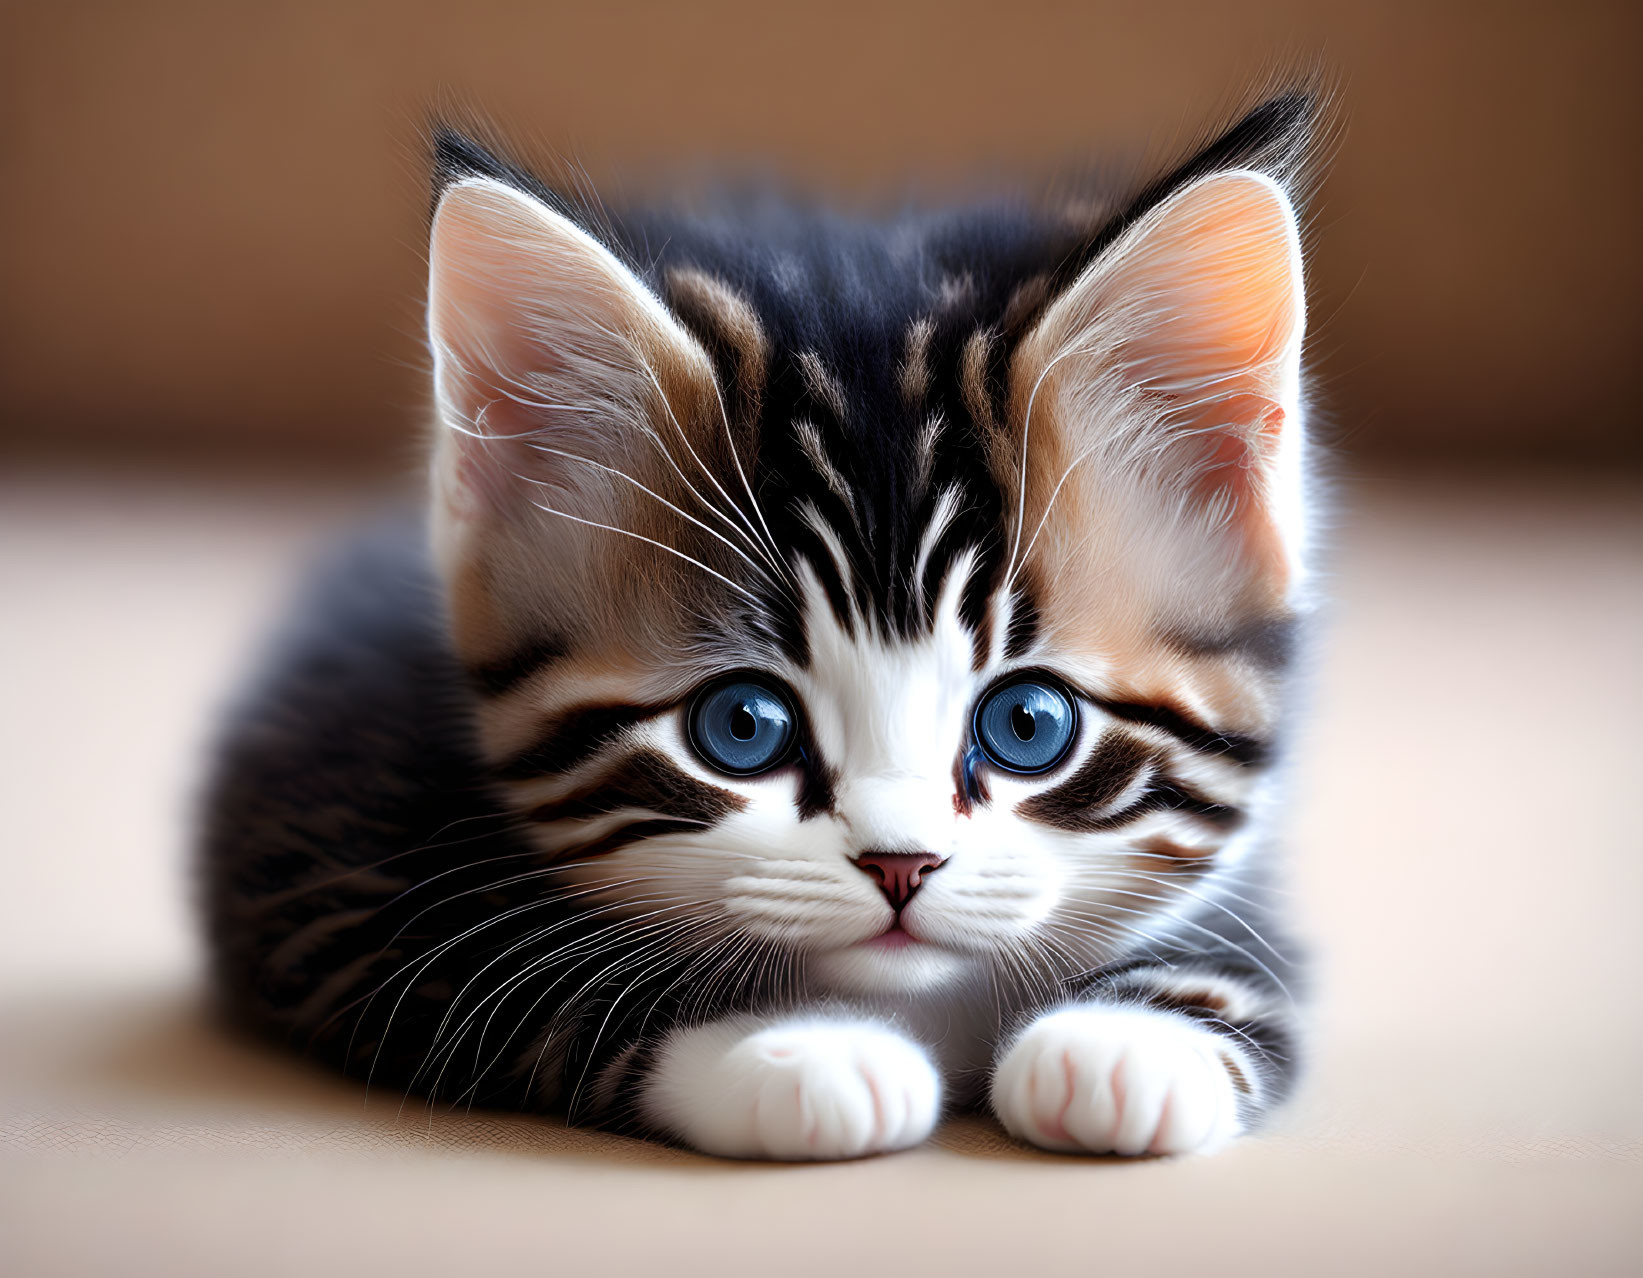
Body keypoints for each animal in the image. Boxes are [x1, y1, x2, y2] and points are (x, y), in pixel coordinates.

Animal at [198, 94, 1314, 1163]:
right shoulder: (329, 861)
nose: (899, 865)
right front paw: (799, 1052)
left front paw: (1127, 1044)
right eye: (741, 727)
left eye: (1028, 725)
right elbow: (526, 977)